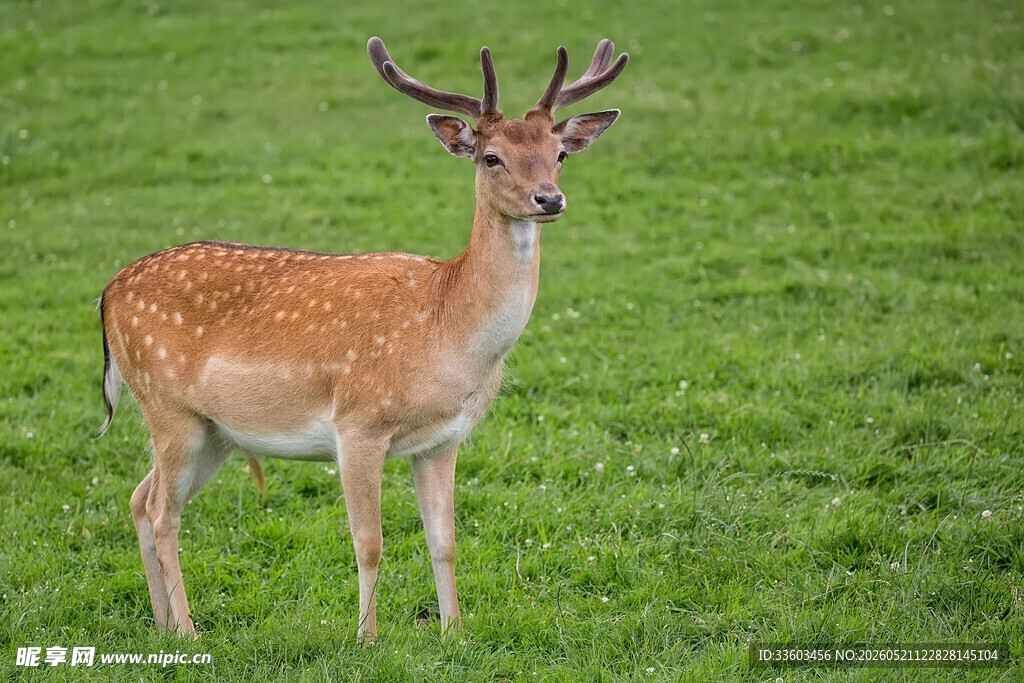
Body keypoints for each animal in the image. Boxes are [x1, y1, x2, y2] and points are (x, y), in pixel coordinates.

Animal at [97, 36, 627, 640]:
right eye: (491, 157)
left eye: (559, 154)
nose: (549, 199)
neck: (447, 333)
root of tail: (106, 294)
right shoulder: (357, 423)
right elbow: (369, 542)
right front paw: (367, 638)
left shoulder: (444, 440)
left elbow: (444, 541)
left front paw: (454, 633)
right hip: (167, 408)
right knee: (163, 511)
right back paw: (187, 630)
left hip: (215, 432)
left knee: (140, 497)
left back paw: (162, 624)